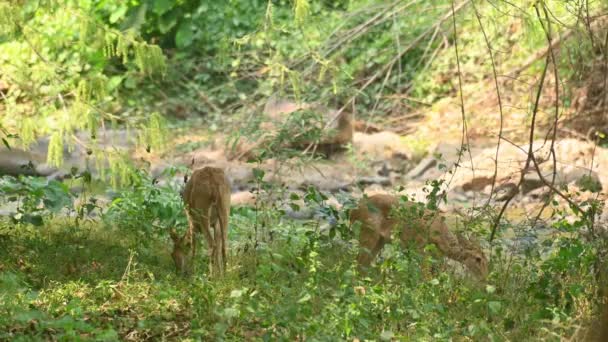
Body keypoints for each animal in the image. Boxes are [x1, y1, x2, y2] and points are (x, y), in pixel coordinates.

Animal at [350, 194, 486, 280]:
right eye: (478, 258)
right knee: (358, 262)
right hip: (368, 232)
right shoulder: (421, 247)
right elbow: (426, 276)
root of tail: (354, 211)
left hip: (380, 240)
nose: (484, 277)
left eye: (486, 260)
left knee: (363, 264)